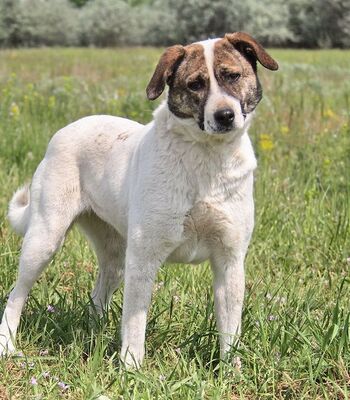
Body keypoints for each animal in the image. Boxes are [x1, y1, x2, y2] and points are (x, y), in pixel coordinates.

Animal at [0, 32, 278, 368]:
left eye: (233, 76)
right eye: (195, 84)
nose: (224, 116)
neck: (206, 157)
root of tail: (65, 130)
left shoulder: (230, 260)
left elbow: (230, 329)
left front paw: (231, 371)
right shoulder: (144, 257)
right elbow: (135, 324)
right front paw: (132, 368)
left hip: (115, 257)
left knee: (98, 295)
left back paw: (94, 335)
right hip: (44, 241)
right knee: (16, 294)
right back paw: (7, 344)